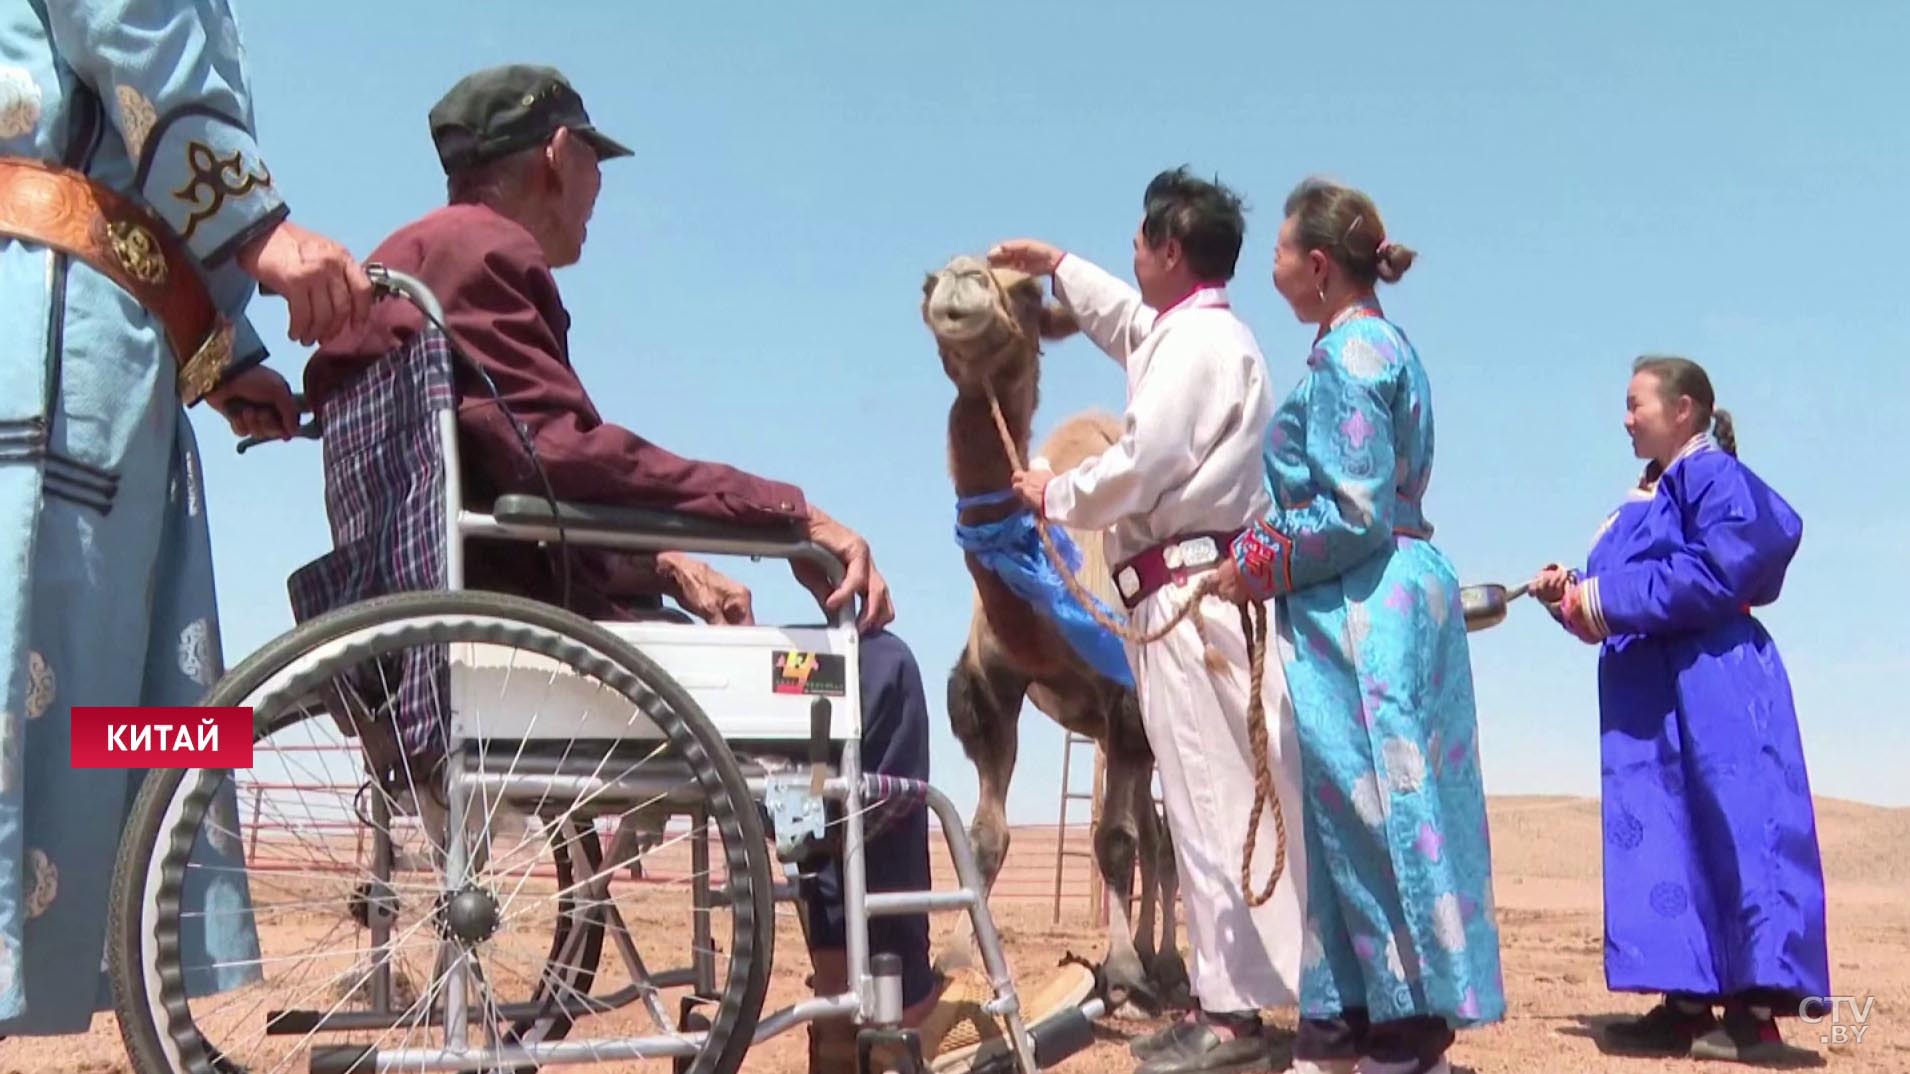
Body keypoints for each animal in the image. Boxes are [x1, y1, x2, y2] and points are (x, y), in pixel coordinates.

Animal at [916, 252, 1184, 1009]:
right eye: (928, 284)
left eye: (1033, 294)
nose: (960, 283)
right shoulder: (994, 690)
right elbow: (984, 836)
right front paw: (958, 957)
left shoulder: (1126, 700)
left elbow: (1113, 840)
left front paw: (1122, 972)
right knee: (1160, 839)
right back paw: (1161, 960)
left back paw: (1167, 967)